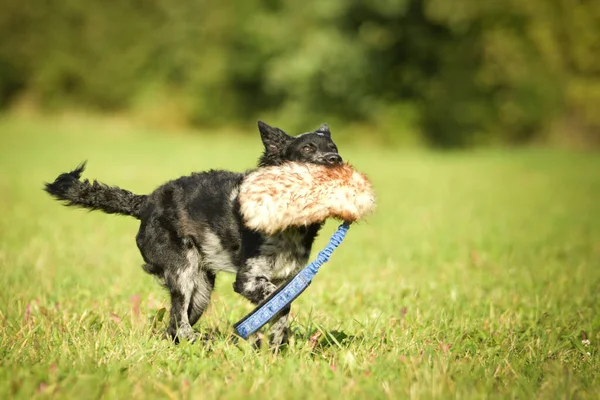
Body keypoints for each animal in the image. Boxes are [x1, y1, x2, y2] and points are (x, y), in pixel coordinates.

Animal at [43, 121, 342, 346]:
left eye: (334, 148)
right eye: (307, 148)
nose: (335, 160)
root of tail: (145, 202)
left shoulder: (288, 277)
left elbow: (280, 311)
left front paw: (275, 348)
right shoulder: (248, 279)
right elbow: (276, 301)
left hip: (201, 290)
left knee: (174, 327)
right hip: (183, 272)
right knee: (179, 324)